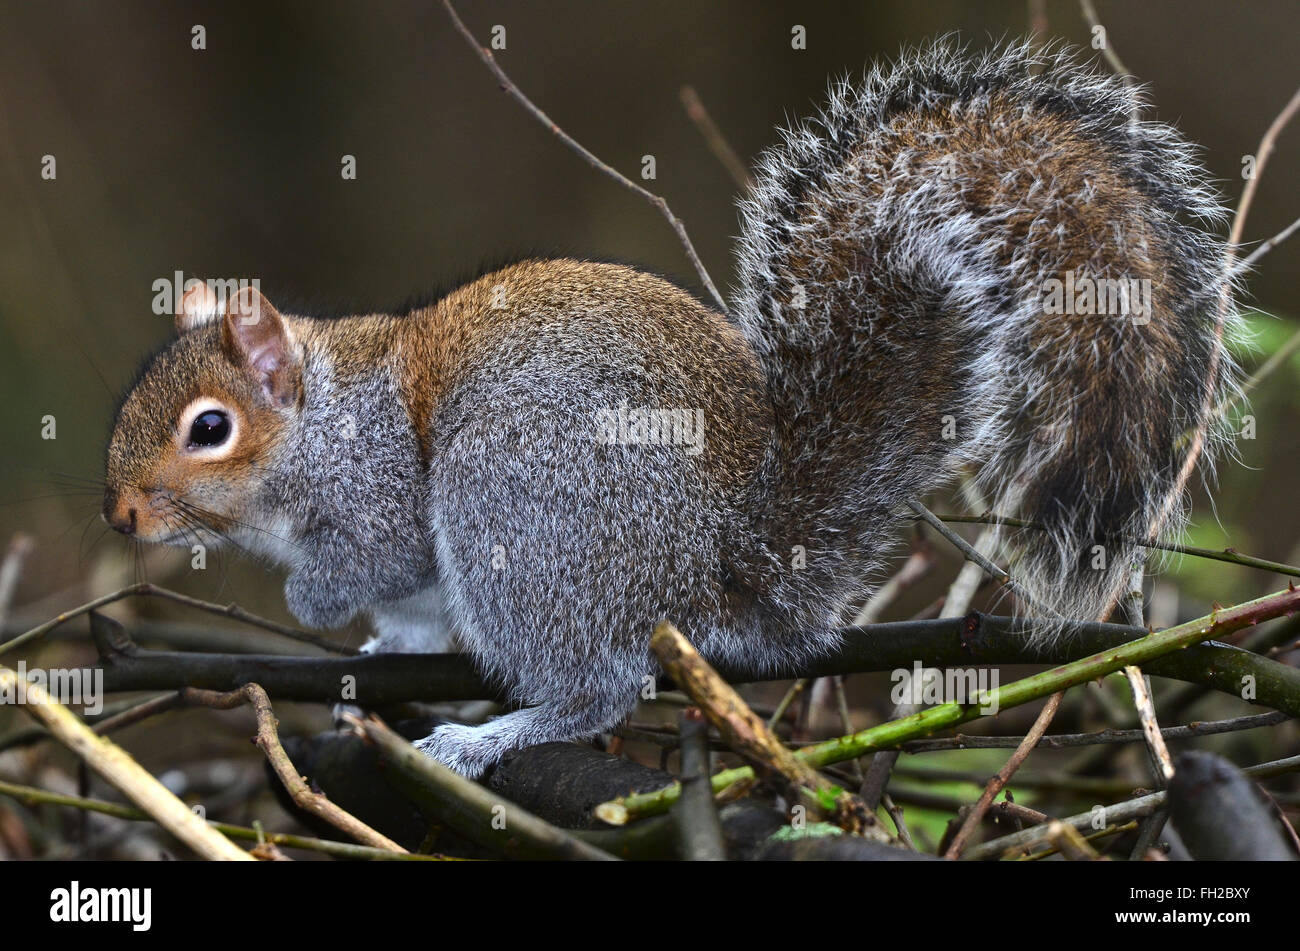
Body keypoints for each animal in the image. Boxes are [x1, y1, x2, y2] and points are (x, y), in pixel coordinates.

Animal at [101, 40, 1237, 774]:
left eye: (210, 429)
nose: (120, 515)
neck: (324, 418)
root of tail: (721, 558)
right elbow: (410, 611)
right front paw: (390, 650)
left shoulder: (380, 487)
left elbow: (376, 560)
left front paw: (314, 604)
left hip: (518, 509)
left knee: (598, 686)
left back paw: (488, 735)